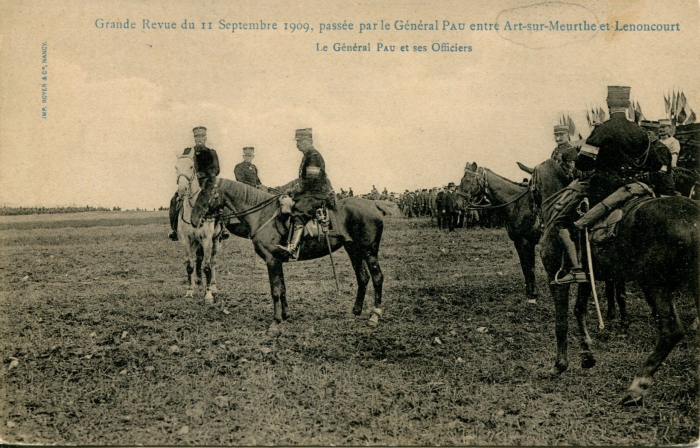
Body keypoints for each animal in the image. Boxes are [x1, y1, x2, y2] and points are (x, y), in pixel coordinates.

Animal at [174, 154, 220, 304]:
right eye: (176, 167)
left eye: (191, 166)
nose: (182, 190)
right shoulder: (187, 240)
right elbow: (190, 266)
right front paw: (189, 292)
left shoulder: (206, 239)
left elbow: (207, 266)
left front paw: (209, 295)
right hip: (195, 242)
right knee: (197, 259)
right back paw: (198, 283)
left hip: (215, 240)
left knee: (213, 261)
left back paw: (213, 287)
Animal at [460, 163, 540, 300]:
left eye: (468, 180)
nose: (458, 204)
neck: (518, 204)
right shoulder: (518, 241)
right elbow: (524, 266)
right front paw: (528, 291)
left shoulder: (527, 241)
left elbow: (531, 267)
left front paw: (533, 292)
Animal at [532, 159, 696, 404]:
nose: (534, 226)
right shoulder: (586, 275)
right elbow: (579, 310)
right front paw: (587, 354)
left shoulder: (555, 276)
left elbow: (561, 322)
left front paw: (559, 365)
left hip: (654, 284)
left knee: (671, 330)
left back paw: (637, 386)